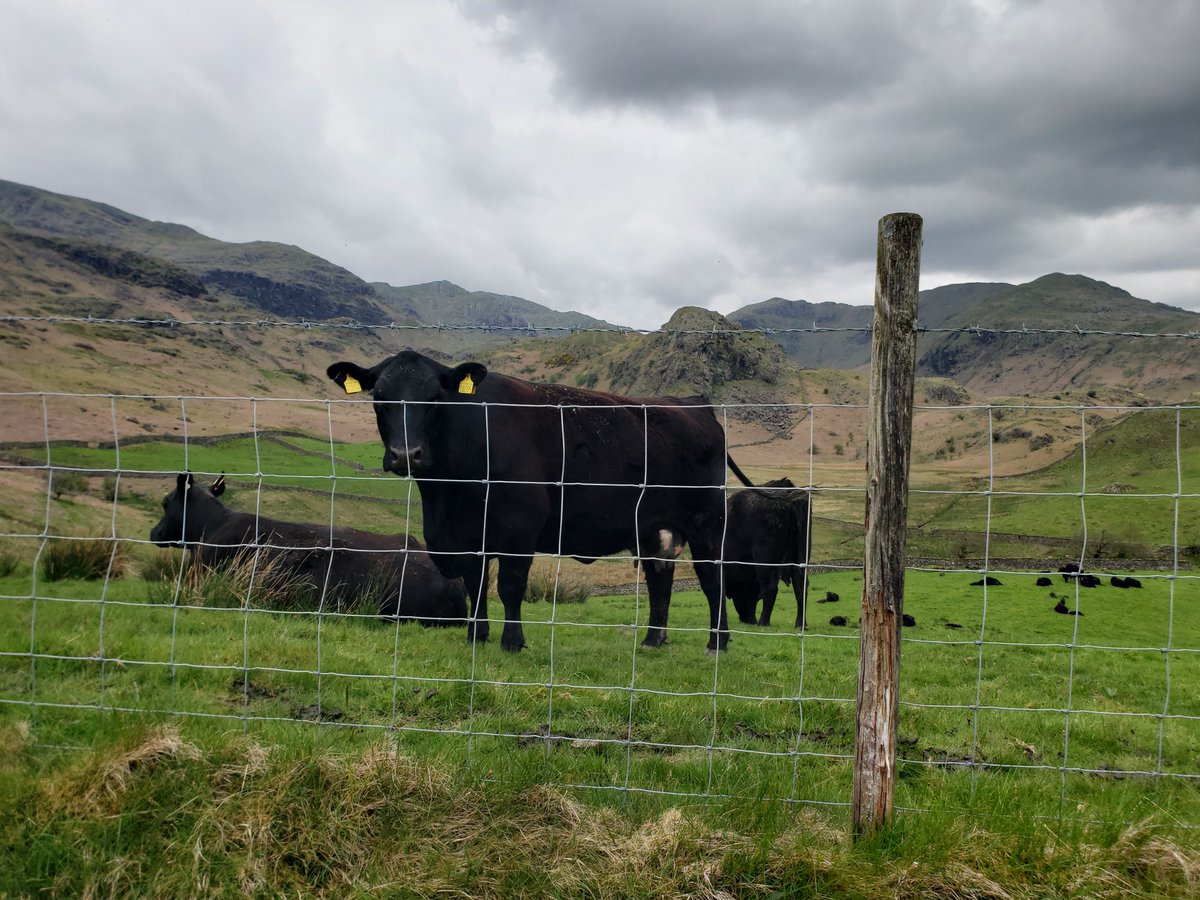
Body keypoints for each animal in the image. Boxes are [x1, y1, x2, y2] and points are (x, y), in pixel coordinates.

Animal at [328, 352, 753, 657]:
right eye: (380, 398)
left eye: (435, 398)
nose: (406, 455)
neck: (446, 495)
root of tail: (694, 405)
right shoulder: (469, 534)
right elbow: (475, 584)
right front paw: (477, 635)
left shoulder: (518, 527)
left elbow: (510, 586)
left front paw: (512, 642)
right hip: (652, 528)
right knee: (658, 577)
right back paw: (652, 640)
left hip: (706, 521)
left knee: (710, 577)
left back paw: (717, 642)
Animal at [715, 480, 811, 628]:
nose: (748, 620)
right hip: (799, 558)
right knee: (800, 586)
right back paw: (800, 624)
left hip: (765, 562)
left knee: (771, 588)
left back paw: (763, 622)